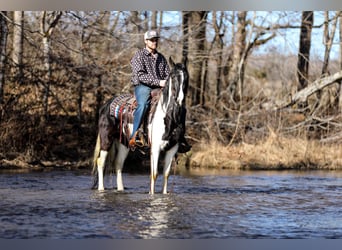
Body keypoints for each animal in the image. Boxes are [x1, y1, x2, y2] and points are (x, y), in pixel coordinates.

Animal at [92, 55, 188, 194]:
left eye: (186, 77)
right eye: (174, 77)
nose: (180, 99)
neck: (169, 116)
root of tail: (106, 105)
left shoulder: (172, 148)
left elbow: (166, 174)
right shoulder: (155, 147)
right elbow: (154, 174)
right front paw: (151, 194)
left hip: (124, 143)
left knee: (118, 164)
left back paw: (121, 189)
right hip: (106, 139)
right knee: (101, 162)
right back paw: (101, 189)